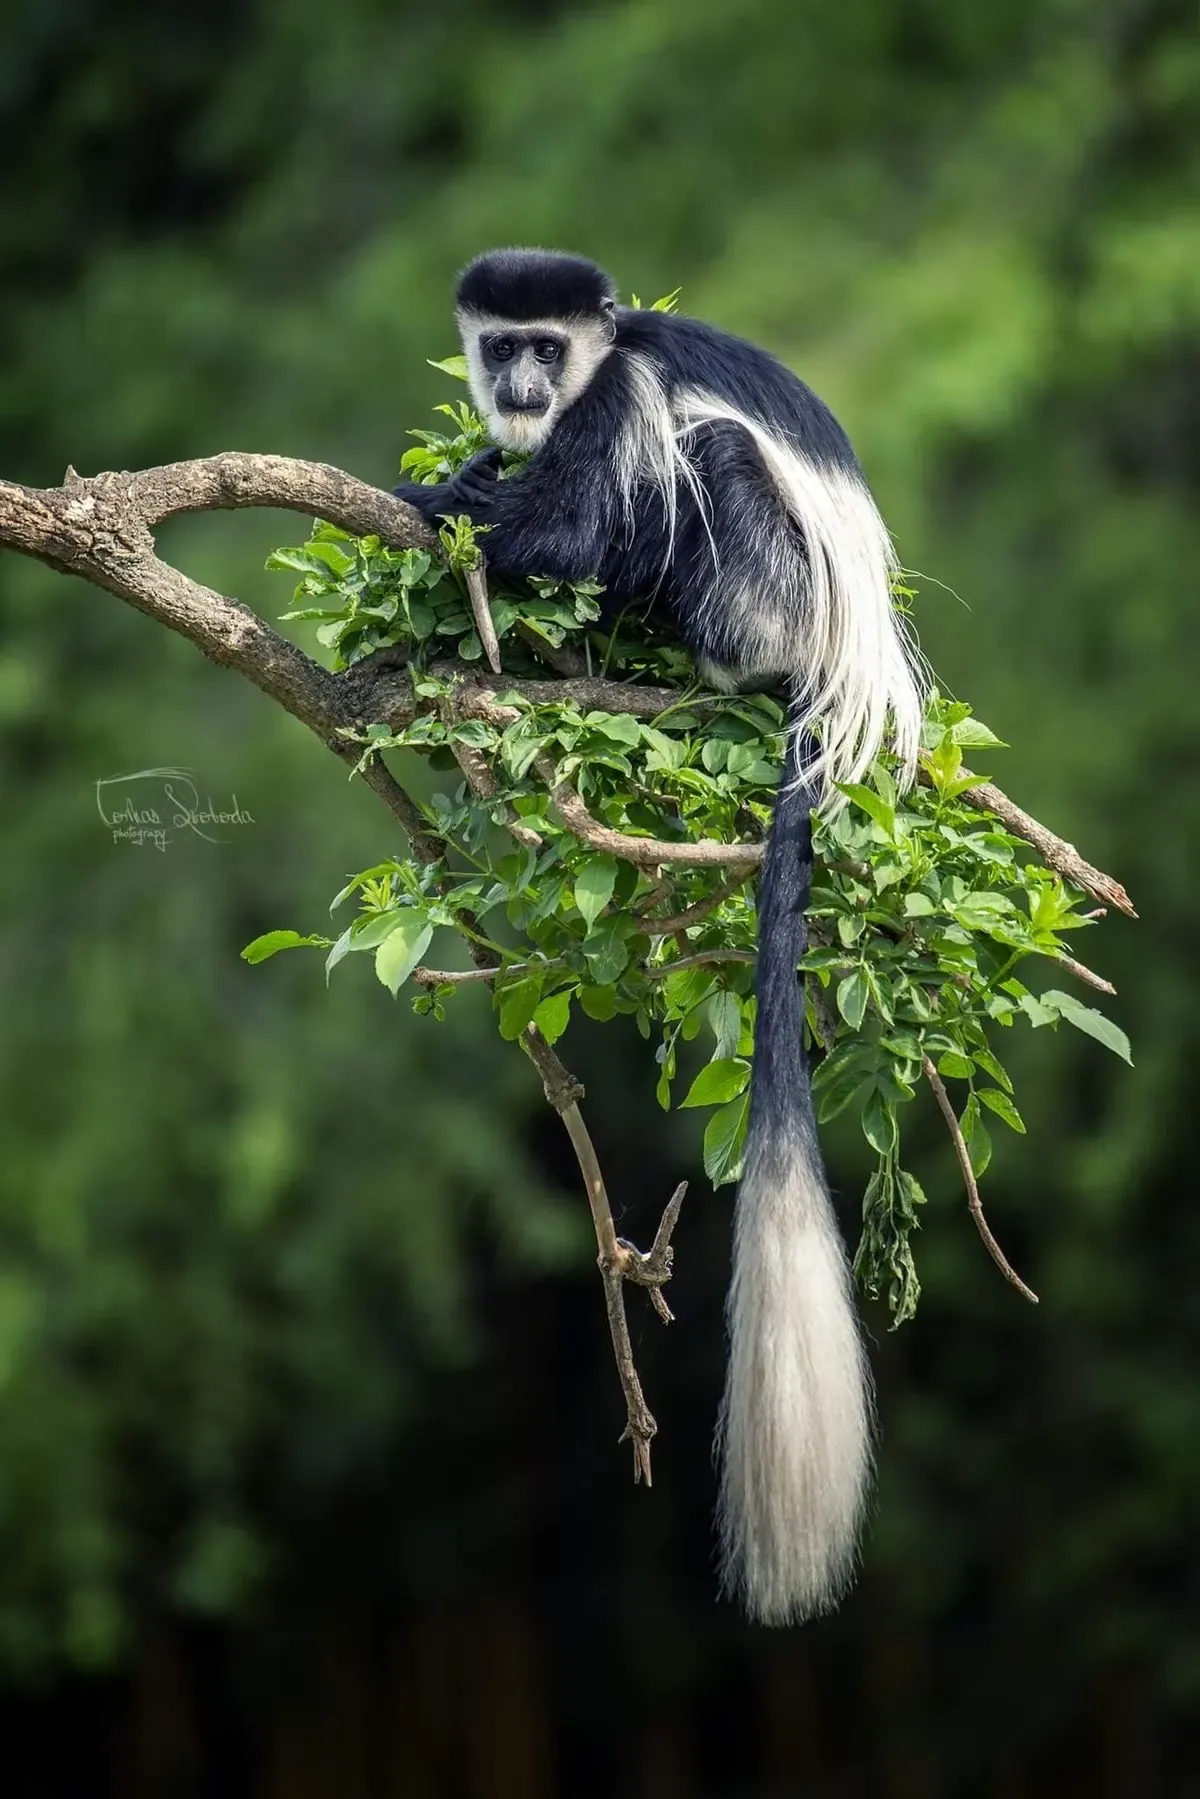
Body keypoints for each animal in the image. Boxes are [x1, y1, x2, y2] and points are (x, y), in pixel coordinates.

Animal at [395, 248, 926, 1624]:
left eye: (547, 347)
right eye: (500, 346)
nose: (521, 390)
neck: (597, 362)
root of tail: (836, 678)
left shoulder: (617, 402)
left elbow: (572, 527)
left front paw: (438, 498)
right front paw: (467, 475)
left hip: (770, 586)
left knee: (708, 471)